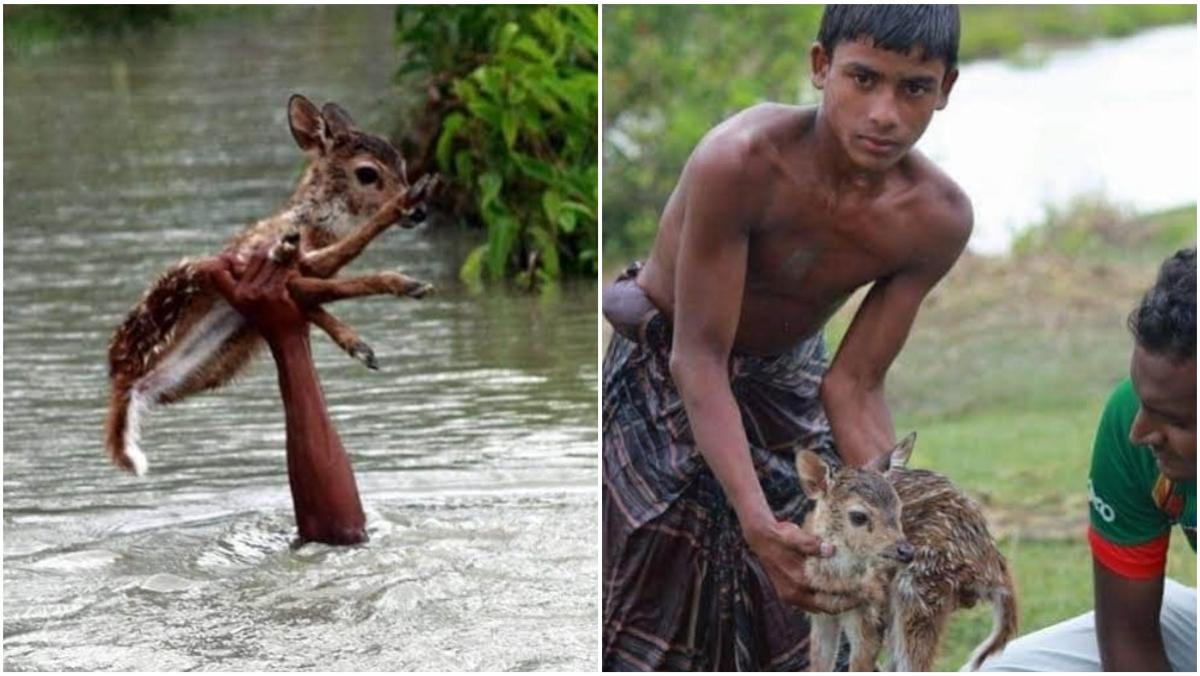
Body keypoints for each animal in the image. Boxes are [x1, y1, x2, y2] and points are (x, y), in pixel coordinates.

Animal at [108, 93, 436, 475]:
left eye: (402, 162)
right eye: (367, 173)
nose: (419, 212)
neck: (313, 225)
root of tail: (123, 380)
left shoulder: (294, 278)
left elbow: (319, 295)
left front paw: (359, 344)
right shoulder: (262, 261)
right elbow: (330, 274)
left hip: (212, 364)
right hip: (184, 285)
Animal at [796, 434, 1012, 672]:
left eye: (899, 509)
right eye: (858, 516)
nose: (907, 550)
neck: (836, 580)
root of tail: (994, 567)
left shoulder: (871, 612)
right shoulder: (822, 615)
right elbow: (819, 664)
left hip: (921, 589)